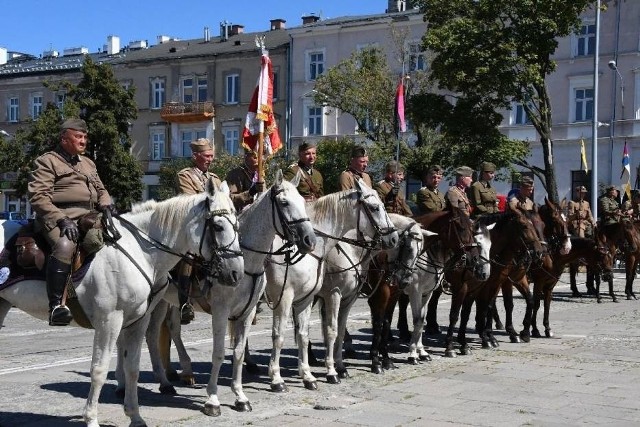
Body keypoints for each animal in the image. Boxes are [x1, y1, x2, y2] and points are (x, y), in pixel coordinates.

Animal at [0, 181, 244, 427]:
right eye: (218, 226)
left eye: (238, 225)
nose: (237, 273)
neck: (142, 252)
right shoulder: (109, 321)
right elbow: (99, 370)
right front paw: (91, 419)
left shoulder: (138, 321)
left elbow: (132, 367)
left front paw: (135, 415)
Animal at [142, 171, 318, 418]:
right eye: (284, 203)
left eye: (303, 201)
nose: (309, 240)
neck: (245, 258)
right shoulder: (221, 311)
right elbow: (218, 353)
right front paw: (212, 400)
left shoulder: (247, 312)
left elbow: (238, 352)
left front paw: (240, 397)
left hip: (168, 302)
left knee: (163, 331)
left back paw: (174, 377)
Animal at [264, 179, 398, 392]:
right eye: (374, 207)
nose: (393, 238)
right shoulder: (331, 295)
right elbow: (331, 330)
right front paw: (331, 371)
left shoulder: (347, 298)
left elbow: (340, 331)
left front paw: (340, 367)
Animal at [320, 214, 436, 382]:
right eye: (409, 248)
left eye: (420, 251)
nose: (405, 281)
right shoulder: (378, 296)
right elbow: (378, 325)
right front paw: (376, 361)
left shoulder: (393, 296)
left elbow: (386, 324)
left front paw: (386, 359)